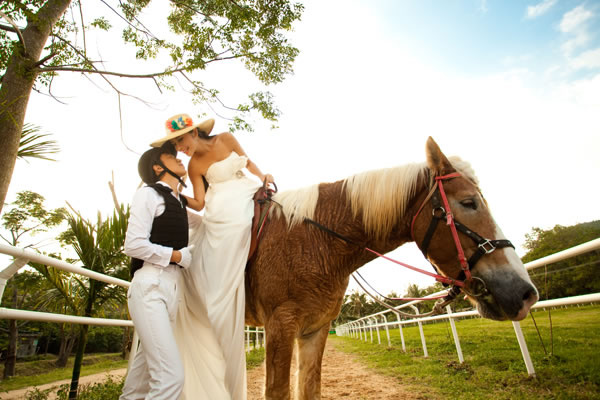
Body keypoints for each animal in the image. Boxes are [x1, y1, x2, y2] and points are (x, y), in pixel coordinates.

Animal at [244, 137, 540, 400]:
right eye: (469, 202)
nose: (526, 294)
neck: (312, 238)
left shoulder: (315, 328)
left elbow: (310, 389)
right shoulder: (280, 325)